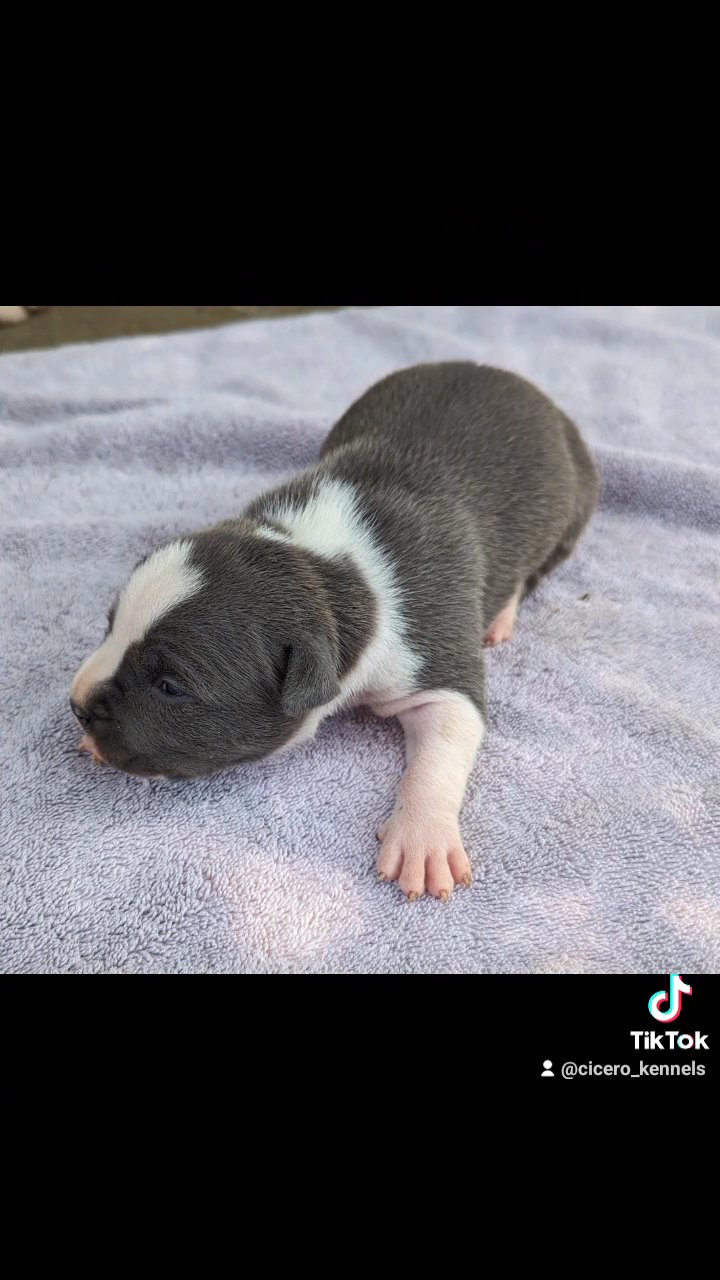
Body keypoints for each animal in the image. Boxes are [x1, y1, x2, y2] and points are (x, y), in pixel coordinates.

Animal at [71, 360, 599, 901]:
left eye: (170, 686)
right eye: (109, 626)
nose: (77, 706)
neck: (329, 568)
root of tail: (509, 377)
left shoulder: (433, 643)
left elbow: (446, 739)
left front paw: (423, 838)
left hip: (574, 507)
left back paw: (502, 616)